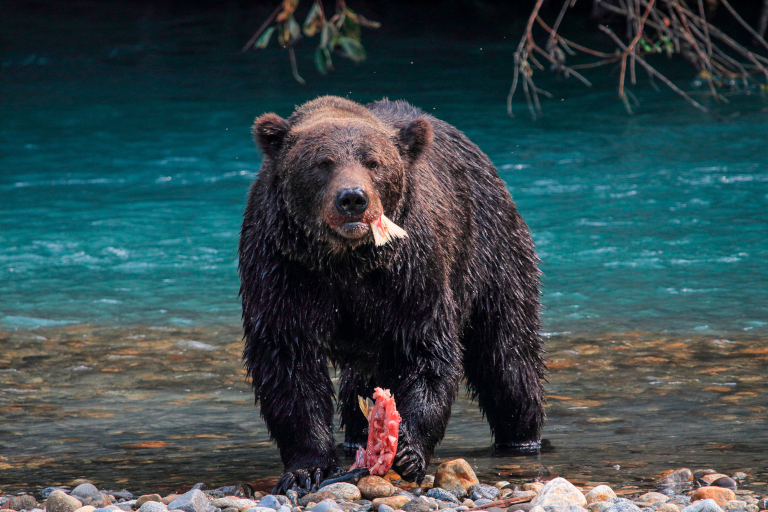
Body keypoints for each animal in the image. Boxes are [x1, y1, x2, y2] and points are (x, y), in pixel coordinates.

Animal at [239, 96, 546, 493]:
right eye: (322, 163)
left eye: (374, 163)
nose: (352, 199)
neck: (345, 262)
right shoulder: (284, 267)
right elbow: (287, 359)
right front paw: (306, 468)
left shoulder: (410, 270)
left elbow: (425, 350)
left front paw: (408, 451)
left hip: (492, 249)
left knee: (508, 357)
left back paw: (522, 437)